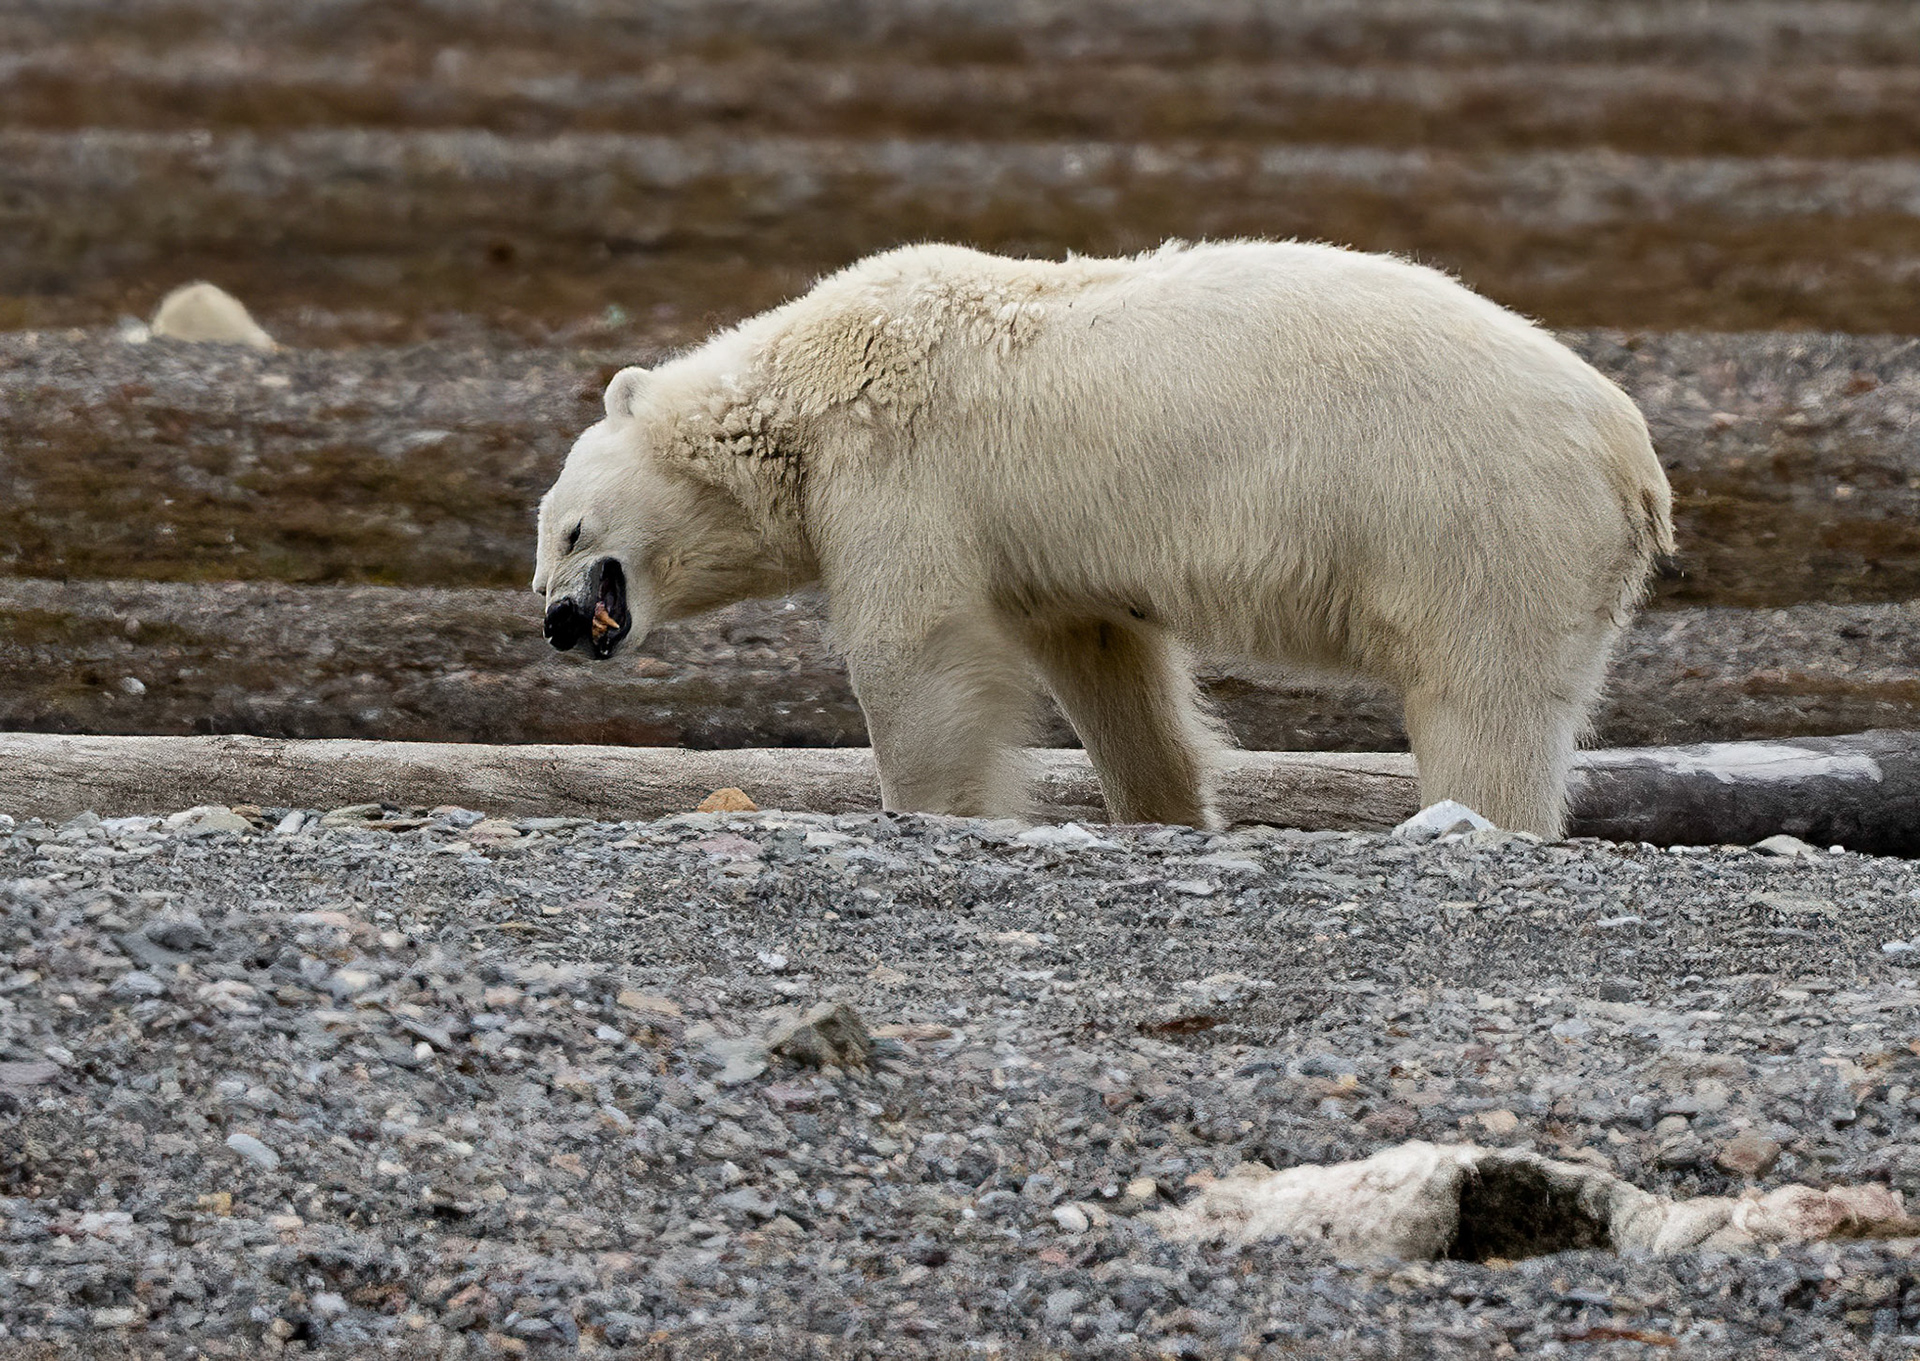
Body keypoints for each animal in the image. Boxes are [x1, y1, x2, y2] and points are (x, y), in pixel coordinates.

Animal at [533, 240, 1673, 837]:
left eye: (570, 527)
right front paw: (1163, 809)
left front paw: (934, 808)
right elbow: (1109, 667)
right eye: (544, 543)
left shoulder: (898, 468)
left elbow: (916, 649)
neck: (803, 390)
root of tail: (1630, 454)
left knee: (1481, 694)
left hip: (1472, 513)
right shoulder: (1053, 556)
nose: (555, 621)